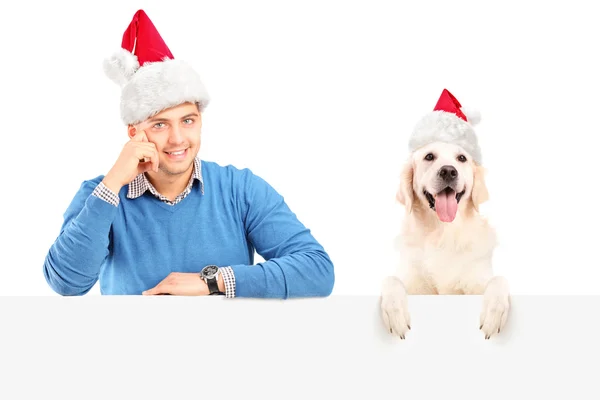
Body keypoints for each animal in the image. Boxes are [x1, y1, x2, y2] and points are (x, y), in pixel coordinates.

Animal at [382, 93, 508, 338]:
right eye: (429, 156)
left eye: (462, 158)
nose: (449, 171)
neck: (443, 233)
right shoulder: (414, 284)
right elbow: (390, 280)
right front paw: (395, 313)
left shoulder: (476, 282)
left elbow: (500, 280)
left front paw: (494, 313)